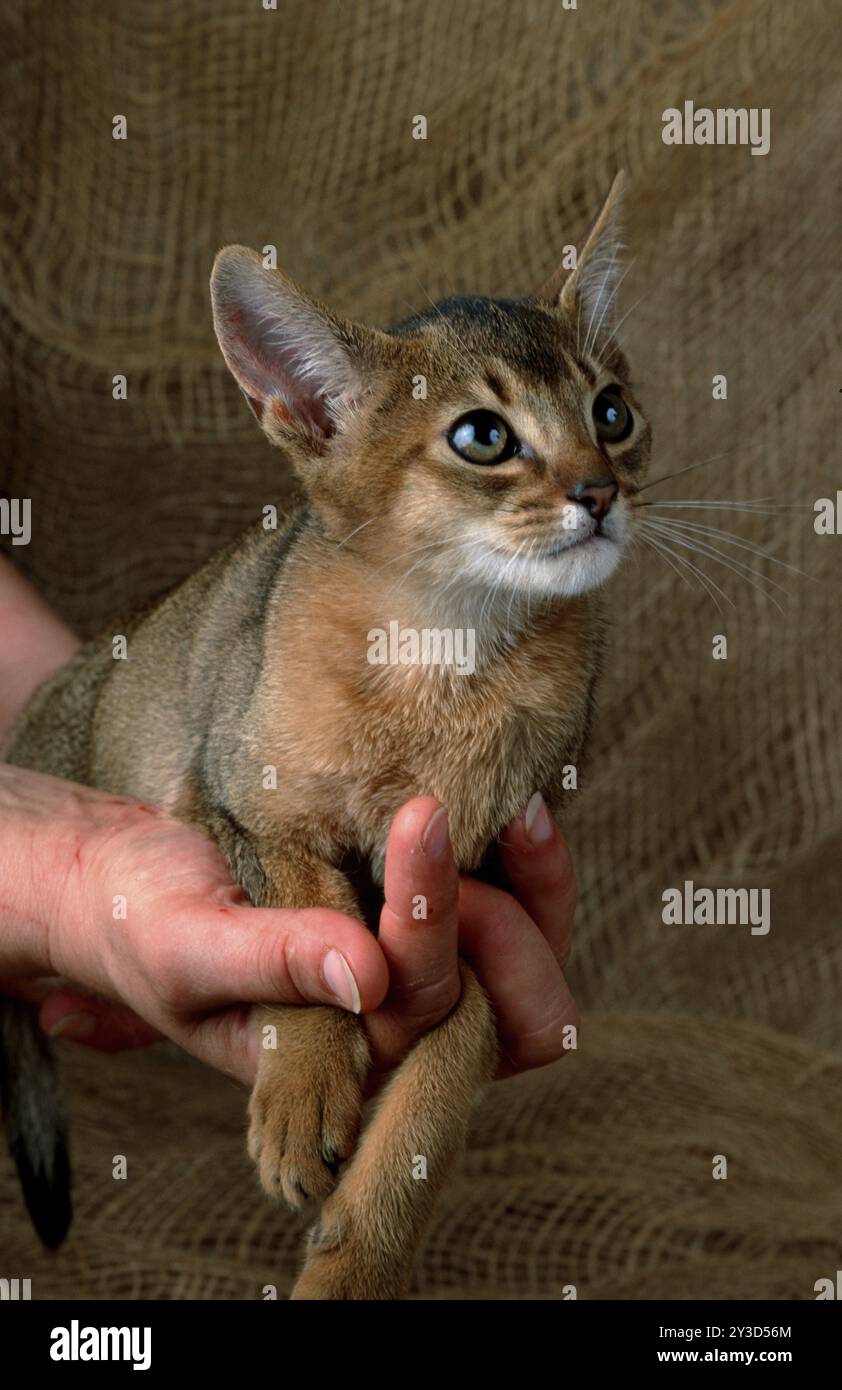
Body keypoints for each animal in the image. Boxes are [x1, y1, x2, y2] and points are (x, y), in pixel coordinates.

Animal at [0, 170, 653, 1289]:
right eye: (483, 436)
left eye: (611, 412)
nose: (599, 491)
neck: (438, 660)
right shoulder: (234, 806)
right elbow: (311, 921)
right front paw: (305, 1088)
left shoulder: (479, 888)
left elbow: (459, 1049)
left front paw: (362, 1253)